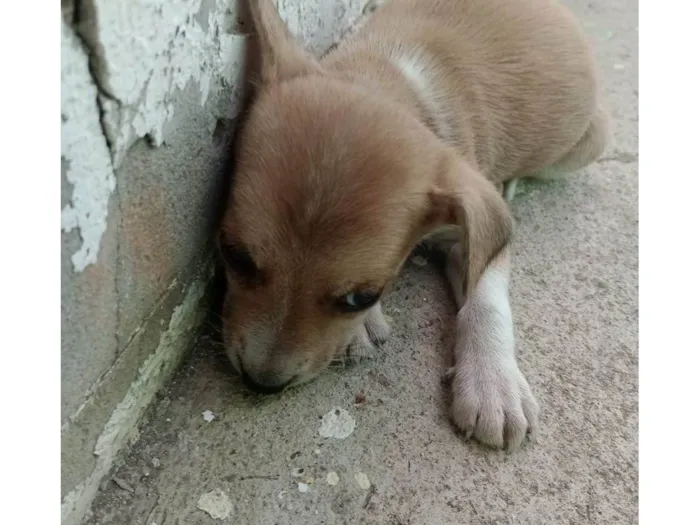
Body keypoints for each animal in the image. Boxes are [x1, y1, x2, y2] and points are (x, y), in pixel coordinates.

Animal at [217, 0, 608, 450]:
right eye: (232, 255)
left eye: (362, 297)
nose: (261, 384)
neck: (390, 77)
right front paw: (362, 330)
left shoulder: (473, 228)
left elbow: (486, 299)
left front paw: (494, 386)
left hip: (587, 144)